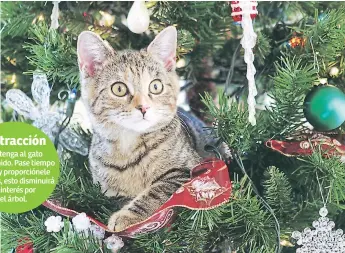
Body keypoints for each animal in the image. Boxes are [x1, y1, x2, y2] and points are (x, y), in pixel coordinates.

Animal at [77, 26, 202, 231]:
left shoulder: (188, 170)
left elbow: (157, 191)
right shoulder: (105, 190)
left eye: (156, 86)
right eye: (119, 89)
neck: (128, 148)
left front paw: (127, 216)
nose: (144, 107)